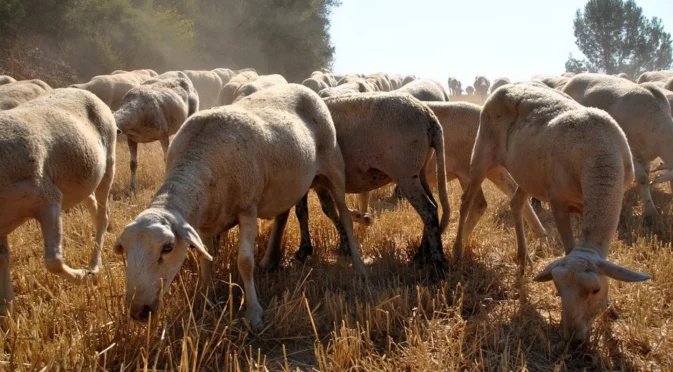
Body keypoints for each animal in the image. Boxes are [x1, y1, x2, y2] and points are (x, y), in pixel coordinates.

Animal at [0, 88, 116, 316]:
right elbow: (4, 259)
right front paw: (8, 310)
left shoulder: (48, 198)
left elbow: (53, 261)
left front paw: (81, 276)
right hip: (81, 181)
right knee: (92, 206)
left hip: (108, 165)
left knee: (103, 216)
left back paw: (93, 266)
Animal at [114, 84, 368, 328]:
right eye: (124, 250)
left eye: (167, 247)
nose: (137, 312)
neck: (197, 163)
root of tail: (305, 88)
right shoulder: (205, 222)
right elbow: (205, 259)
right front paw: (205, 297)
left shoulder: (247, 208)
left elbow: (245, 262)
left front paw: (254, 313)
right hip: (287, 183)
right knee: (283, 215)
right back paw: (270, 260)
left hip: (334, 168)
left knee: (345, 216)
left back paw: (359, 265)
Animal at [292, 92, 448, 274]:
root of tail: (427, 114)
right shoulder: (320, 182)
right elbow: (328, 210)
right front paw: (345, 242)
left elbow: (304, 213)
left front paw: (303, 251)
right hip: (419, 170)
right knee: (433, 206)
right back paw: (421, 255)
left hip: (405, 173)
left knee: (428, 210)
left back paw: (438, 264)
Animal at [452, 83, 652, 342]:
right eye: (558, 289)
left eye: (595, 289)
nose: (572, 339)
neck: (599, 157)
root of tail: (507, 85)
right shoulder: (558, 202)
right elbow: (569, 245)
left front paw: (608, 306)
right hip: (482, 153)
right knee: (467, 202)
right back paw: (457, 250)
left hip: (527, 173)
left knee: (516, 204)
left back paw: (523, 258)